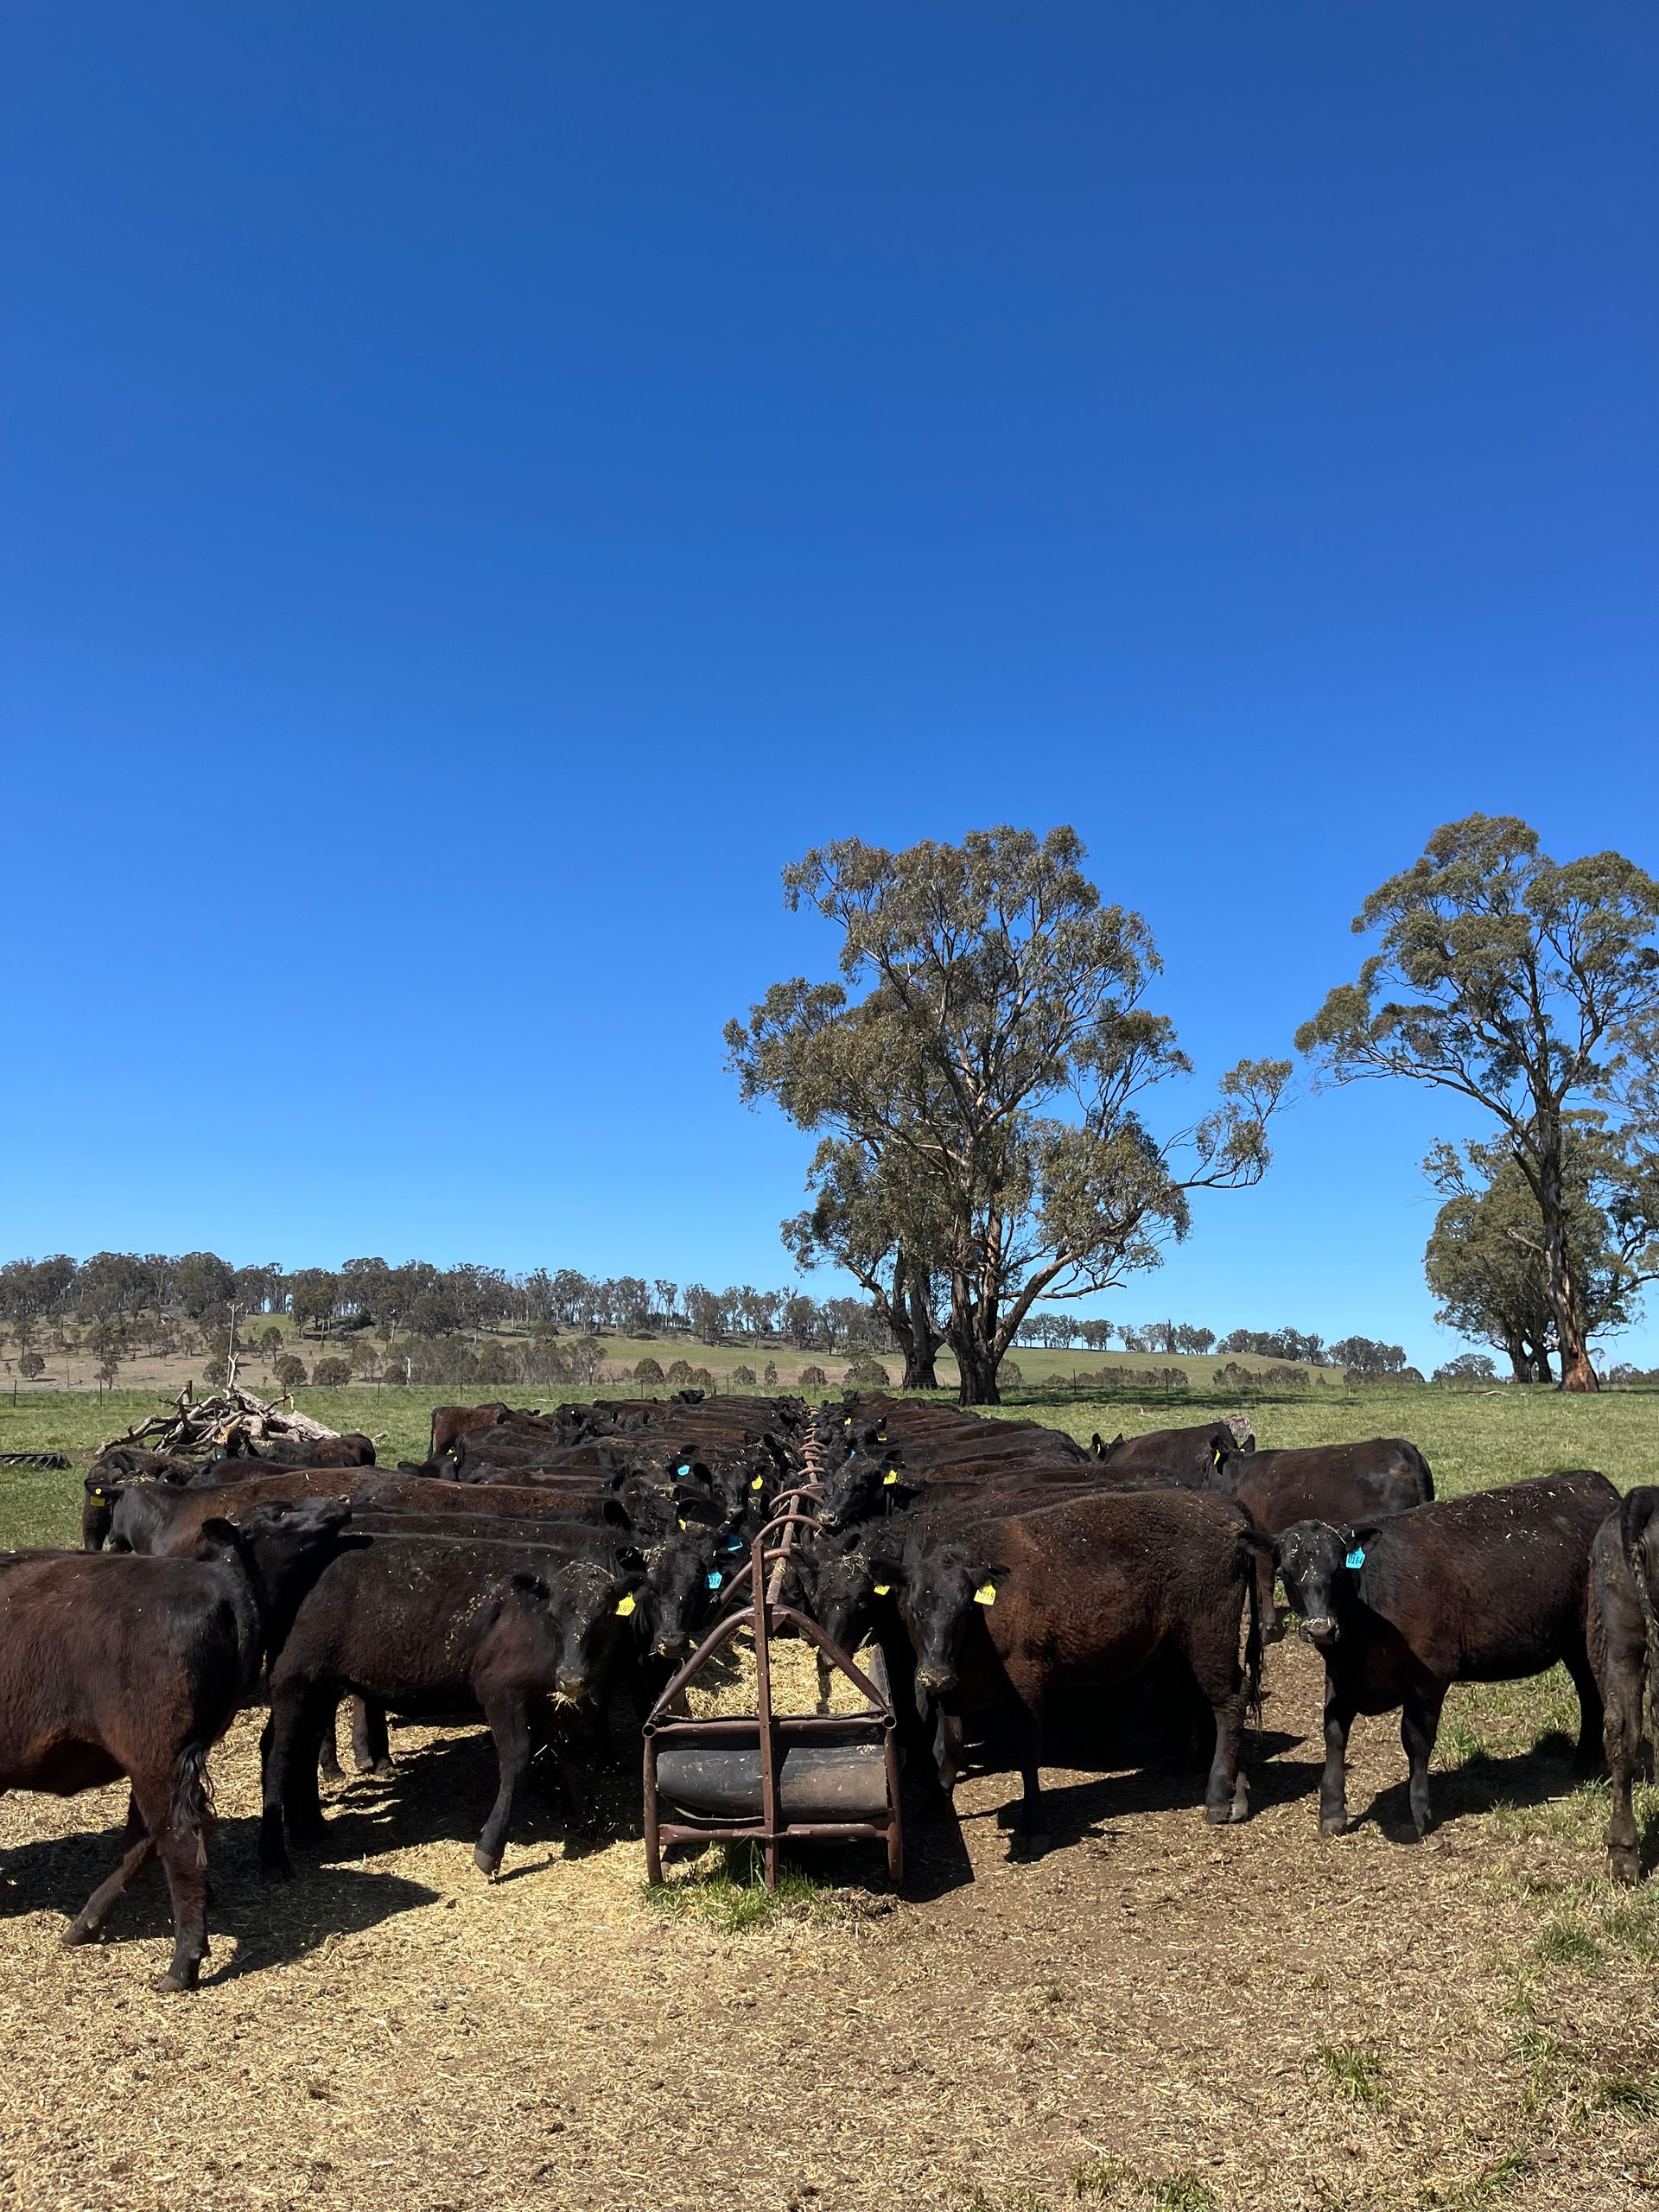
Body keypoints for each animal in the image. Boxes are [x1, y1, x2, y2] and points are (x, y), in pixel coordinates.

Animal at [0, 1497, 350, 1991]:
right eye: (279, 1512)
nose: (339, 1505)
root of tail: (218, 1582)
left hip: (157, 1758)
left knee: (176, 1841)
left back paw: (182, 1963)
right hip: (156, 1761)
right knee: (147, 1838)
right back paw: (85, 1925)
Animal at [1273, 1468, 1616, 1839]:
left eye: (1339, 1570)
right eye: (1285, 1573)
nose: (1320, 1628)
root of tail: (1592, 1481)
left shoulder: (1428, 1679)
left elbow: (1416, 1740)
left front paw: (1417, 1813)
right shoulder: (1340, 1678)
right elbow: (1334, 1734)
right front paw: (1332, 1811)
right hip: (1573, 1643)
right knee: (1589, 1695)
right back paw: (1584, 1765)